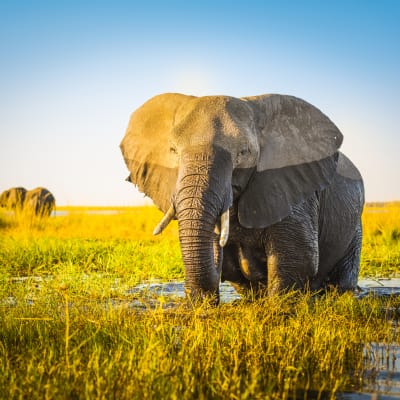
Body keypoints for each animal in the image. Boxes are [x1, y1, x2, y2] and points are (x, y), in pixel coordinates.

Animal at [119, 92, 366, 302]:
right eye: (173, 151)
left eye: (244, 152)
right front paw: (201, 306)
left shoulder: (291, 185)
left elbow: (298, 258)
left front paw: (278, 309)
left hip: (355, 227)